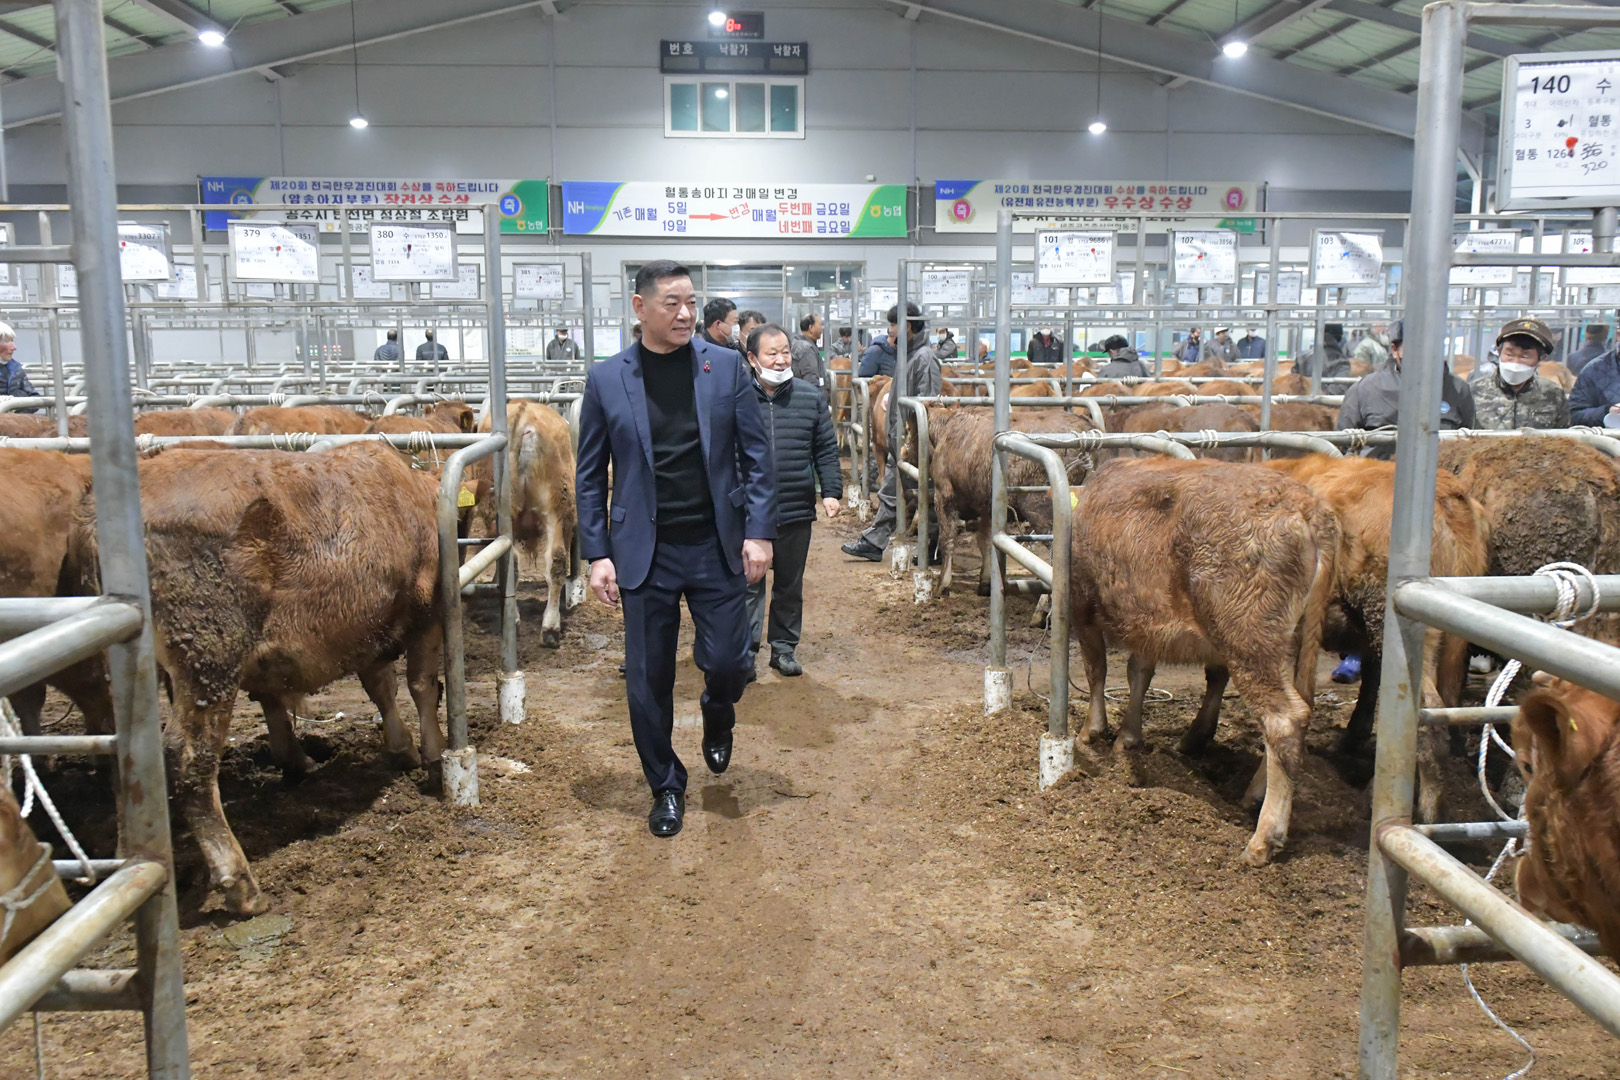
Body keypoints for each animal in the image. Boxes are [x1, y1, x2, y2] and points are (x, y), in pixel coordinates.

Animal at [67, 443, 444, 916]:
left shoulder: (368, 625)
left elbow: (380, 688)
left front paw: (401, 747)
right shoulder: (424, 610)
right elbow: (420, 686)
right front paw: (434, 756)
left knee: (126, 755)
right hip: (210, 658)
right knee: (188, 758)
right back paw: (240, 883)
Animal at [1068, 458, 1339, 865]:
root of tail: (1307, 506)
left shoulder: (1083, 604)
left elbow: (1095, 668)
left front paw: (1091, 731)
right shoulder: (1146, 619)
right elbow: (1138, 673)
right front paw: (1129, 736)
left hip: (1248, 636)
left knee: (1285, 719)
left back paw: (1263, 838)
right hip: (1297, 638)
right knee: (1300, 709)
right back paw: (1254, 793)